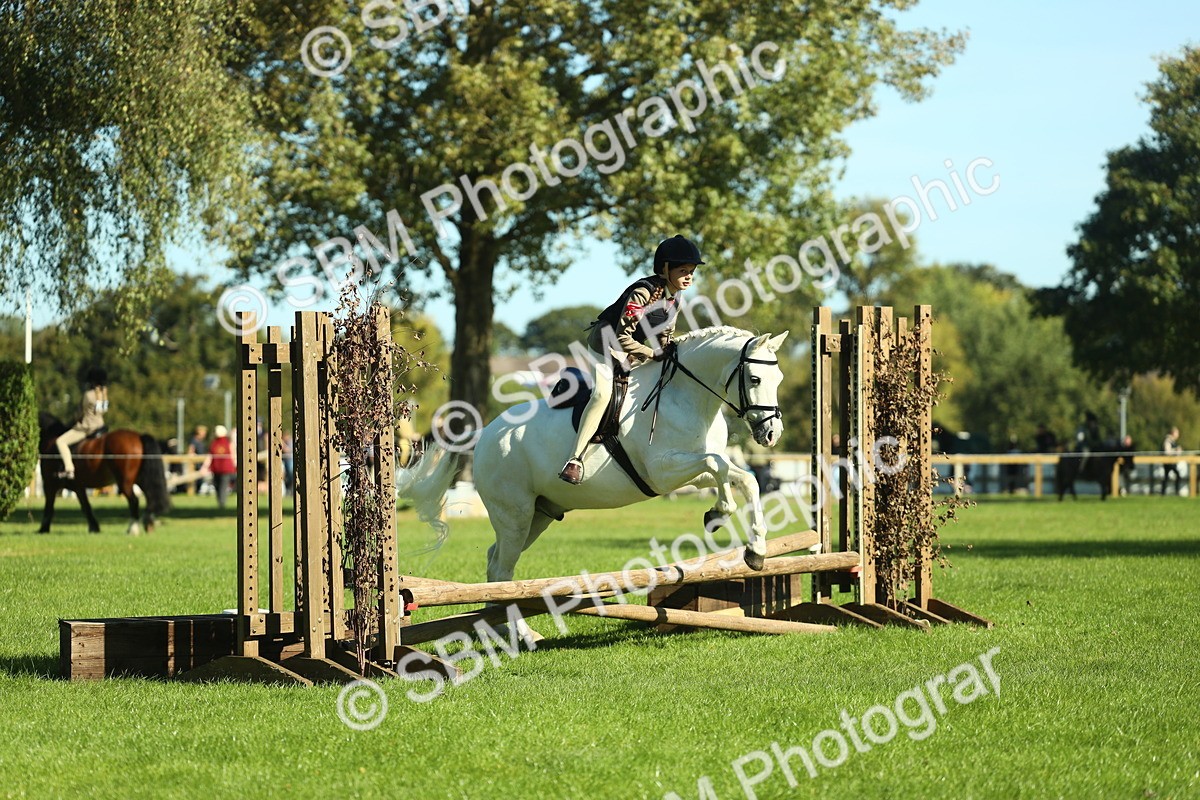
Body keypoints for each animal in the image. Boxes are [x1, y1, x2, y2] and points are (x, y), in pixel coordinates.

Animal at [38, 413, 172, 534]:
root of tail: (138, 436)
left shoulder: (49, 485)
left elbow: (49, 507)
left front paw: (43, 529)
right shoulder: (78, 487)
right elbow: (86, 507)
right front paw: (94, 528)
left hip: (125, 483)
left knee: (134, 501)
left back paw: (133, 529)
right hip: (141, 480)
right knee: (151, 498)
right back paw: (148, 523)